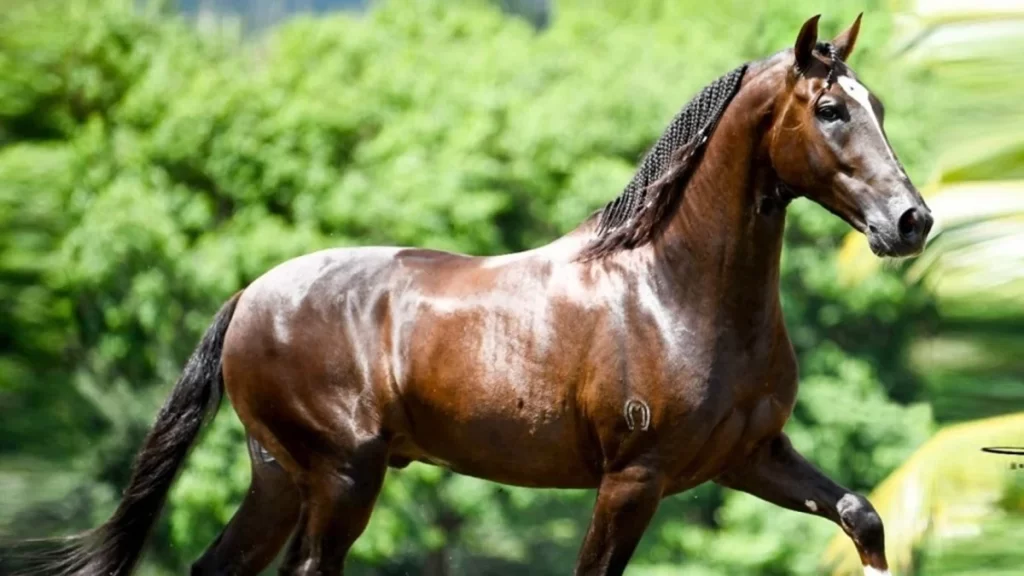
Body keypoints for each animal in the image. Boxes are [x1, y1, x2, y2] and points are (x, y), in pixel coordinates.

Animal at [35, 13, 932, 576]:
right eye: (830, 109)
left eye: (881, 106)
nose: (912, 221)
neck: (670, 294)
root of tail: (251, 296)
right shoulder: (632, 481)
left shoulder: (750, 458)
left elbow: (862, 515)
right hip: (342, 476)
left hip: (281, 476)